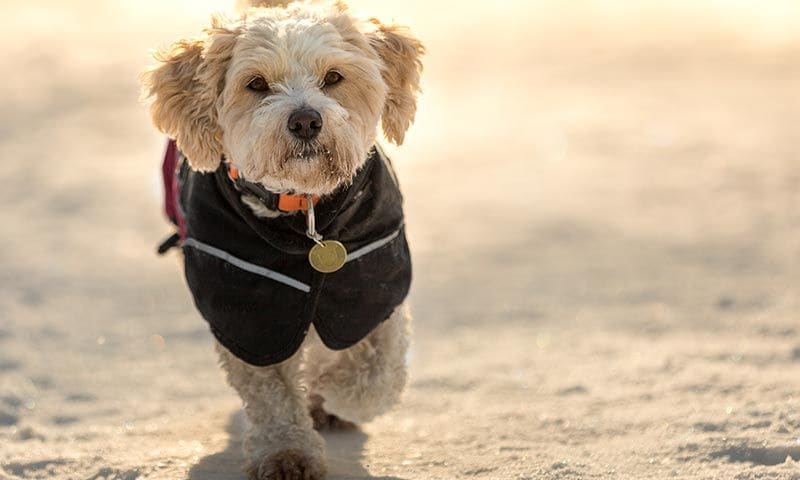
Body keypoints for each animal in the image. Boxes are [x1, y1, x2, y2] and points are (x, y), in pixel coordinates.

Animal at [141, 0, 424, 480]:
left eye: (334, 77)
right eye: (256, 84)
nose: (306, 120)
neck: (305, 215)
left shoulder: (373, 279)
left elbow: (376, 375)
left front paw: (332, 391)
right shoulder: (249, 305)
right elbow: (273, 396)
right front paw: (287, 453)